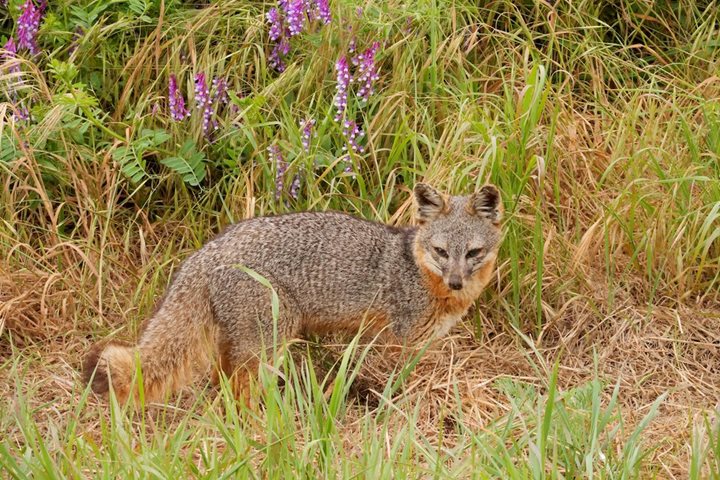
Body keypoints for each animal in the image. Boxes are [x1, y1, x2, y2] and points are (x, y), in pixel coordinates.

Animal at [82, 183, 503, 404]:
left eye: (472, 253)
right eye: (442, 252)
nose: (456, 281)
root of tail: (209, 250)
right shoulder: (398, 342)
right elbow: (396, 383)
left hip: (241, 343)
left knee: (223, 382)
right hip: (269, 342)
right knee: (240, 389)